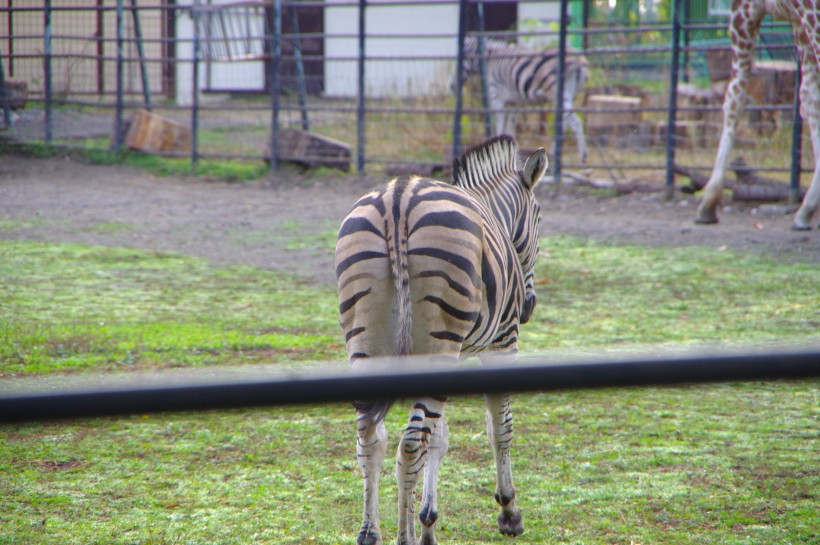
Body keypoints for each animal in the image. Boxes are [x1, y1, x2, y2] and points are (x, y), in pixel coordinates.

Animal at [334, 135, 552, 544]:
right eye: (539, 217)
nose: (529, 307)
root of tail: (399, 198)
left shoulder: (452, 353)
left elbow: (439, 438)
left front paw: (428, 522)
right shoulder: (502, 340)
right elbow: (500, 426)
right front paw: (508, 511)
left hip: (367, 338)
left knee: (371, 436)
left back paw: (370, 531)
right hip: (440, 340)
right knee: (408, 444)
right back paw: (402, 537)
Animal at [458, 35, 588, 163]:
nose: (453, 86)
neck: (490, 59)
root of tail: (577, 58)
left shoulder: (497, 97)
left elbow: (500, 125)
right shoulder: (515, 102)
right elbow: (510, 126)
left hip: (556, 93)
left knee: (575, 122)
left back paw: (582, 156)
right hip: (570, 95)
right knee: (566, 122)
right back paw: (554, 151)